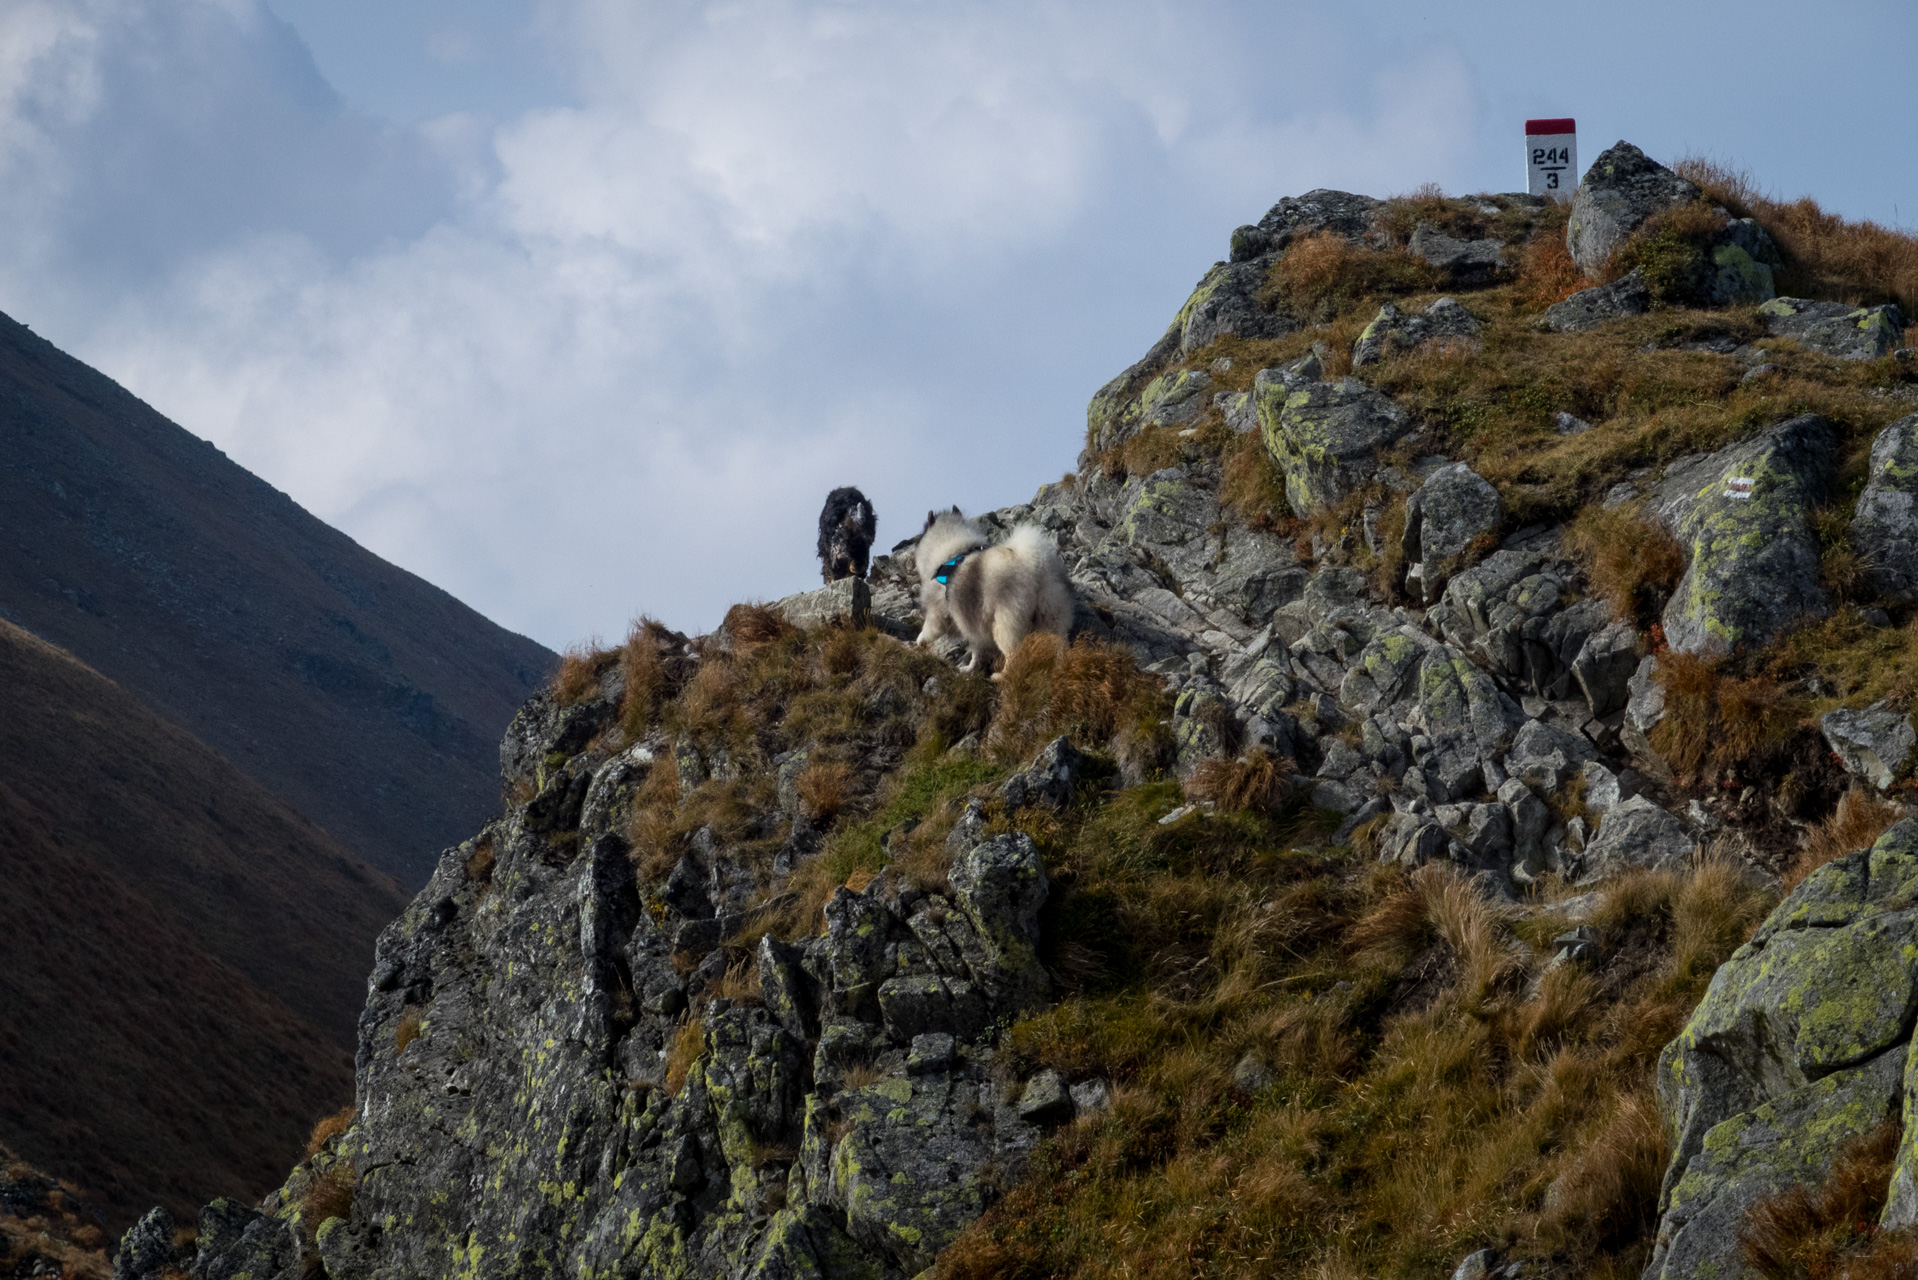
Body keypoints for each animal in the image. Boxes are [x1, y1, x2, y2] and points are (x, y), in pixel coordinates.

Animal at [916, 506, 1081, 675]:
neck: (952, 551)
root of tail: (1033, 564)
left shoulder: (939, 613)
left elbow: (929, 628)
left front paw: (919, 641)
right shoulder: (972, 622)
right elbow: (976, 650)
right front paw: (970, 668)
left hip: (1005, 622)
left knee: (1013, 653)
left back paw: (1002, 676)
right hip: (1052, 613)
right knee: (1060, 643)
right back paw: (1060, 668)